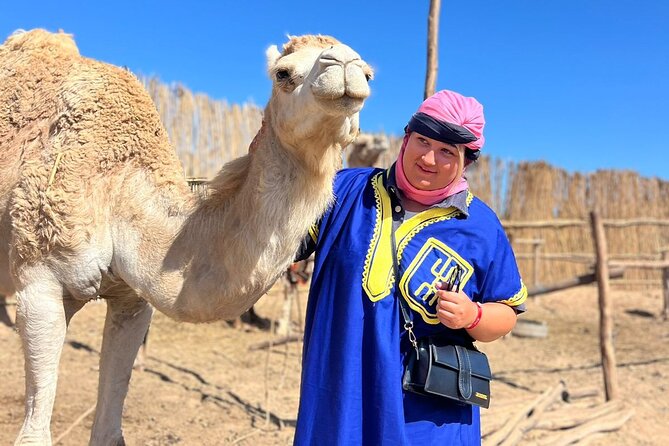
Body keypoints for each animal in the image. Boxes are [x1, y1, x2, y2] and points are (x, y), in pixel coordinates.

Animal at [0, 29, 372, 445]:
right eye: (283, 73)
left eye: (368, 74)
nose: (345, 65)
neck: (118, 183)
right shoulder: (39, 281)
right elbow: (33, 434)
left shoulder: (131, 298)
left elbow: (110, 431)